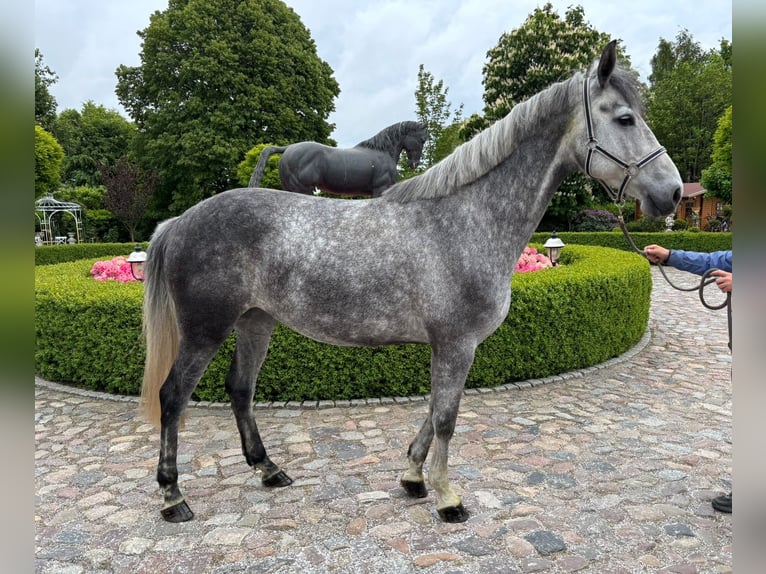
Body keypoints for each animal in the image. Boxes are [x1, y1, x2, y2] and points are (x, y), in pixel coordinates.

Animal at [247, 121, 429, 197]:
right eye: (422, 139)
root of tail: (288, 148)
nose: (414, 164)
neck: (382, 152)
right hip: (303, 189)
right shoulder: (380, 189)